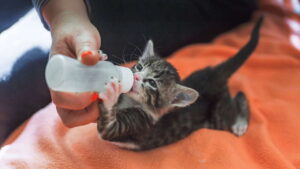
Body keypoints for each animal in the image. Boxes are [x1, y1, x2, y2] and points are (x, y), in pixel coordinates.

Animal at [97, 17, 264, 151]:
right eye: (139, 67)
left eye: (152, 83)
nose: (136, 76)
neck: (129, 101)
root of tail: (213, 72)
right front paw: (99, 59)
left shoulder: (136, 126)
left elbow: (106, 127)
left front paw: (110, 93)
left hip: (219, 117)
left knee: (240, 97)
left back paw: (240, 124)